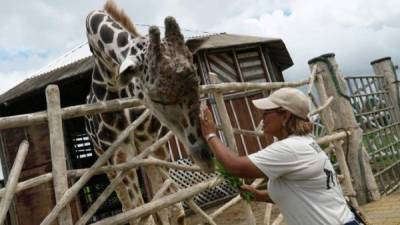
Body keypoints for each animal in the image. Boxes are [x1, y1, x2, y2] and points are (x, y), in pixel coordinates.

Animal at [84, 0, 214, 225]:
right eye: (156, 98)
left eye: (197, 84)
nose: (205, 157)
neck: (112, 81)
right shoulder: (120, 155)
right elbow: (140, 212)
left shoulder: (152, 144)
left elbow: (168, 206)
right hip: (105, 158)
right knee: (128, 206)